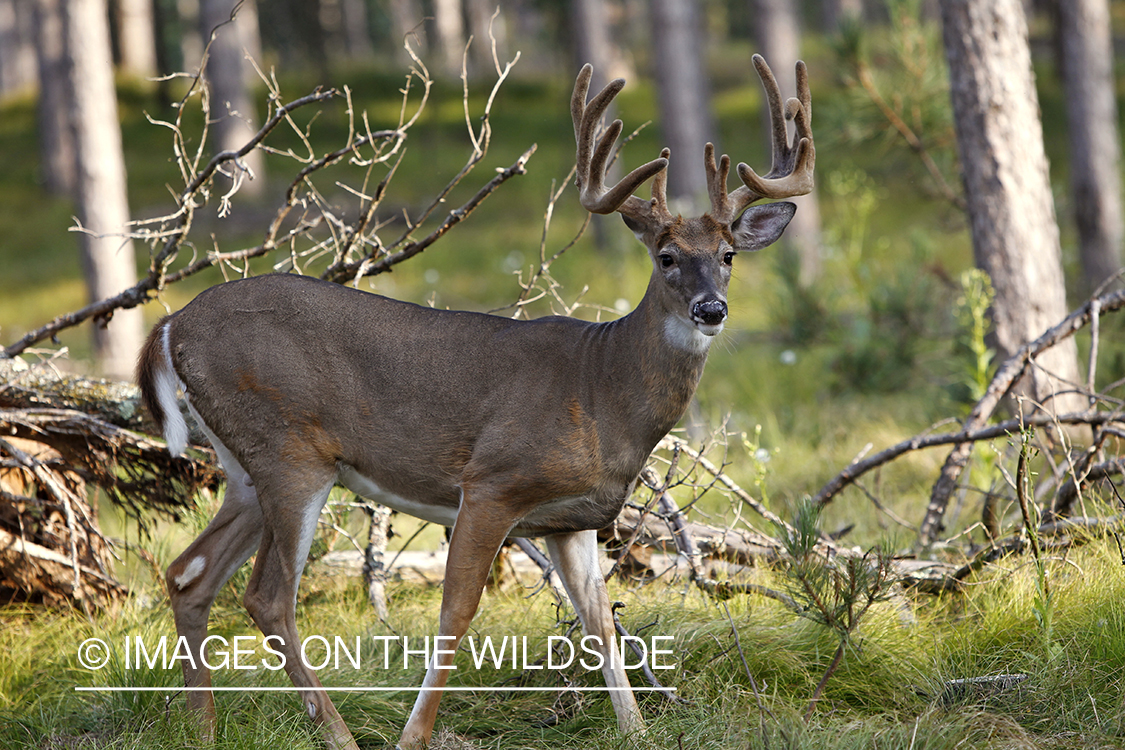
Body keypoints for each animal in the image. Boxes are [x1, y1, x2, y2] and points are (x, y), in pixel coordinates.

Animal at [140, 55, 814, 746]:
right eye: (667, 256)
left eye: (728, 254)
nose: (712, 309)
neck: (604, 389)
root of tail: (171, 326)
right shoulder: (493, 482)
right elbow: (457, 611)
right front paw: (414, 735)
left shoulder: (570, 519)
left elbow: (599, 625)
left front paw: (635, 732)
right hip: (289, 451)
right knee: (267, 597)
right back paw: (337, 733)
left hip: (244, 467)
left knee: (189, 574)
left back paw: (203, 728)